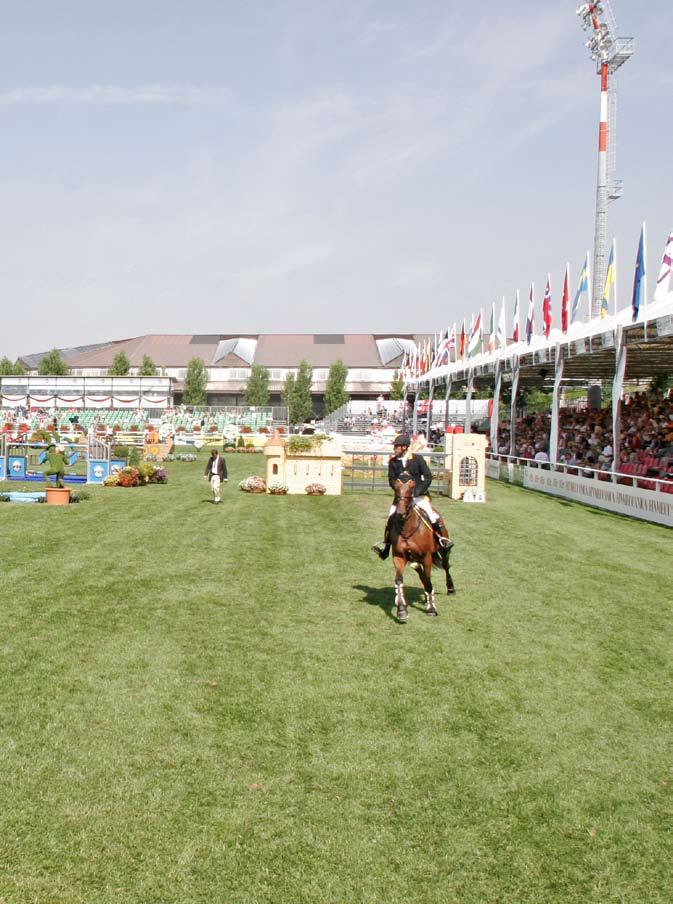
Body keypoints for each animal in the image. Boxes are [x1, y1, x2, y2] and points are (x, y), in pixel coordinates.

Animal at [388, 480, 456, 620]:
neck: (407, 528)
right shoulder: (399, 557)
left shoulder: (426, 557)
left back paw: (450, 589)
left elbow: (429, 580)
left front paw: (431, 608)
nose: (400, 514)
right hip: (415, 559)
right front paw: (401, 610)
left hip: (443, 551)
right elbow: (399, 580)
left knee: (446, 567)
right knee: (420, 572)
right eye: (396, 489)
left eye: (411, 489)